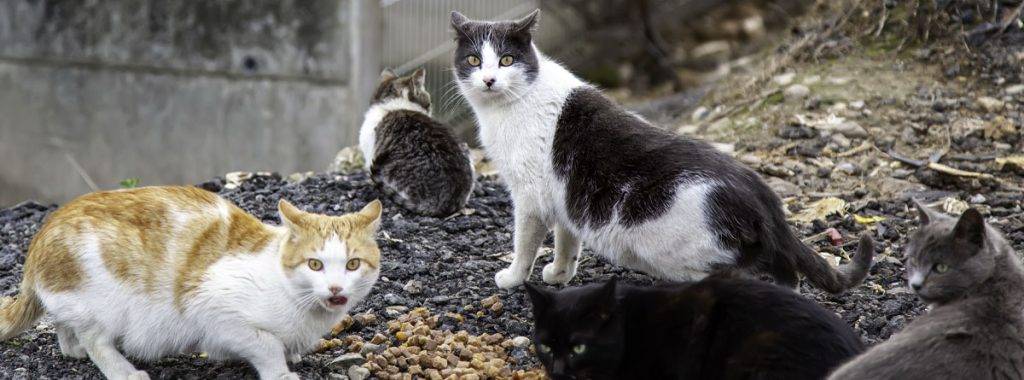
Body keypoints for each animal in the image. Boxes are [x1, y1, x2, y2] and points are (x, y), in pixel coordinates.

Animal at [0, 187, 385, 380]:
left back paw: (72, 346)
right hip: (104, 298)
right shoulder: (214, 308)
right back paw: (124, 371)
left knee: (64, 323)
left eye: (352, 264)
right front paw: (280, 371)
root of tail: (41, 236)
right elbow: (266, 344)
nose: (336, 289)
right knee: (96, 339)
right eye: (315, 264)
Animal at [448, 11, 872, 290]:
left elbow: (525, 244)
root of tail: (761, 194)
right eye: (474, 59)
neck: (509, 105)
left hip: (679, 254)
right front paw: (559, 275)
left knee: (747, 275)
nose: (489, 80)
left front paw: (513, 278)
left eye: (506, 60)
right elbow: (568, 240)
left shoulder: (529, 198)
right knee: (786, 275)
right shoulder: (564, 198)